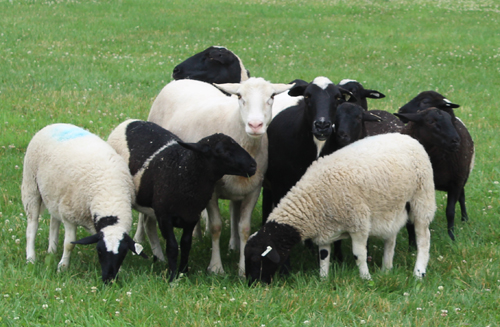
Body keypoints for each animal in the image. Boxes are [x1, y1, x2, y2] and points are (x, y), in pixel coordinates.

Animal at [22, 123, 146, 284]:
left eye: (123, 253)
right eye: (100, 251)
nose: (109, 280)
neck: (109, 194)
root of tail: (55, 124)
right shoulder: (69, 214)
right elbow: (69, 244)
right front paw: (63, 267)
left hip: (54, 194)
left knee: (54, 222)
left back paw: (52, 250)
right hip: (31, 187)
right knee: (32, 227)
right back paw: (31, 258)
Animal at [109, 120, 258, 282]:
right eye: (221, 151)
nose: (253, 165)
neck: (183, 170)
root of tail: (130, 121)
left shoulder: (191, 217)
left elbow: (186, 244)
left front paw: (183, 272)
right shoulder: (165, 217)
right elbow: (173, 246)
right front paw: (172, 276)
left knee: (149, 225)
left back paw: (159, 258)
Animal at [145, 77, 292, 276]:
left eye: (272, 96)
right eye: (240, 96)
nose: (255, 125)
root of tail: (184, 80)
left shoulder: (253, 189)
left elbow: (244, 228)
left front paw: (242, 268)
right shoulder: (211, 191)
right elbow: (216, 227)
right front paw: (216, 267)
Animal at [244, 133, 436, 284]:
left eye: (256, 260)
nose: (252, 284)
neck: (312, 200)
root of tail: (408, 137)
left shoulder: (358, 223)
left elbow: (359, 254)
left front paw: (366, 278)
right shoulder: (325, 229)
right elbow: (323, 256)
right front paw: (323, 279)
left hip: (421, 198)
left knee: (424, 239)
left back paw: (419, 273)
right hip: (392, 207)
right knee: (391, 238)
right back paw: (386, 270)